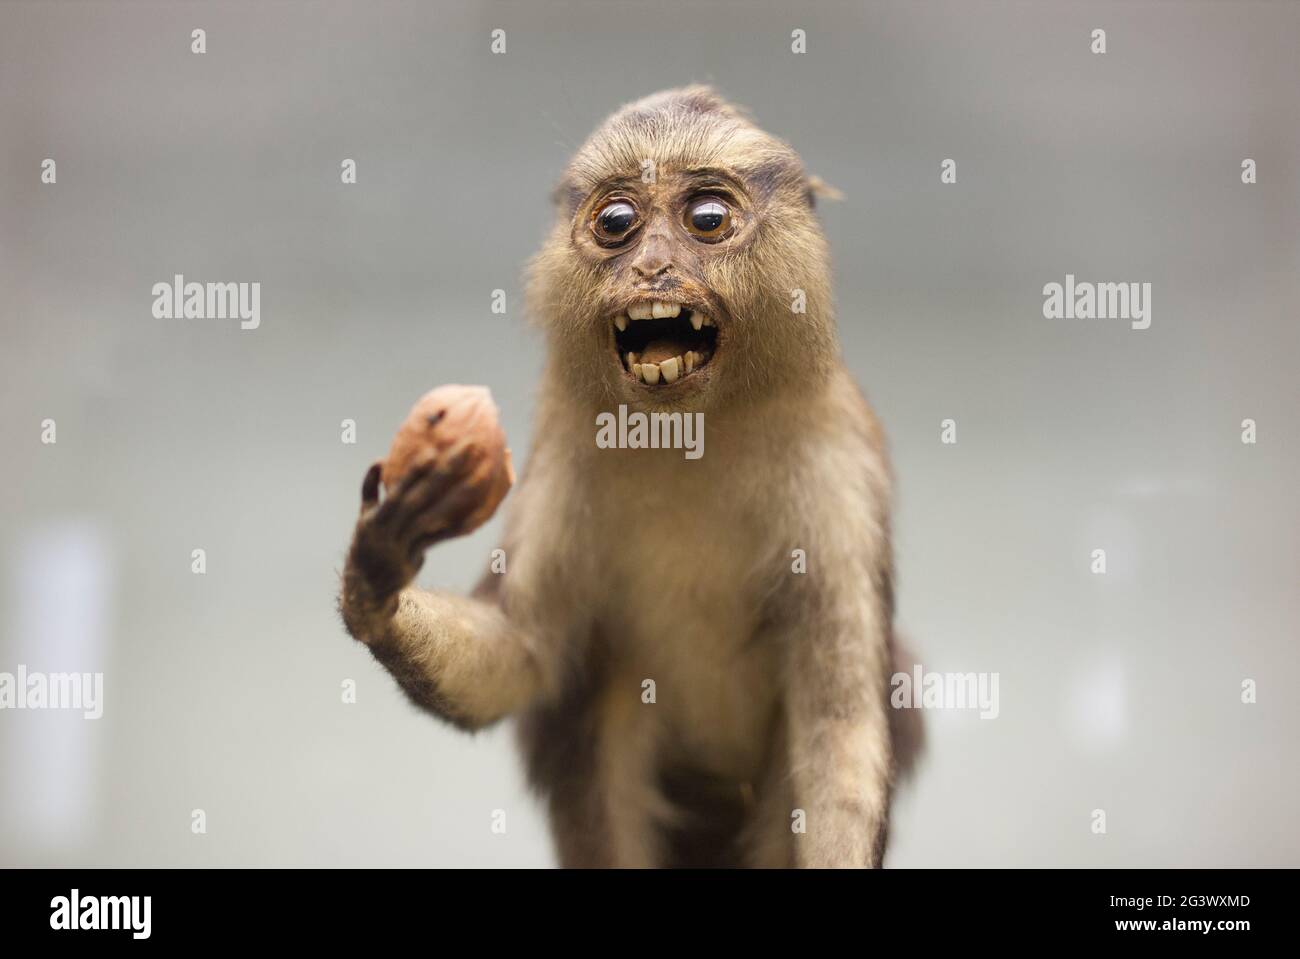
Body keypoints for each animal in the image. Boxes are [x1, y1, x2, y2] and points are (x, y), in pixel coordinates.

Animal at [339, 86, 920, 868]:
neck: (690, 433)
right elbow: (523, 656)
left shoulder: (841, 456)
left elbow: (840, 725)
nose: (650, 270)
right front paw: (377, 572)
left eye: (707, 219)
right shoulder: (563, 448)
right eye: (617, 222)